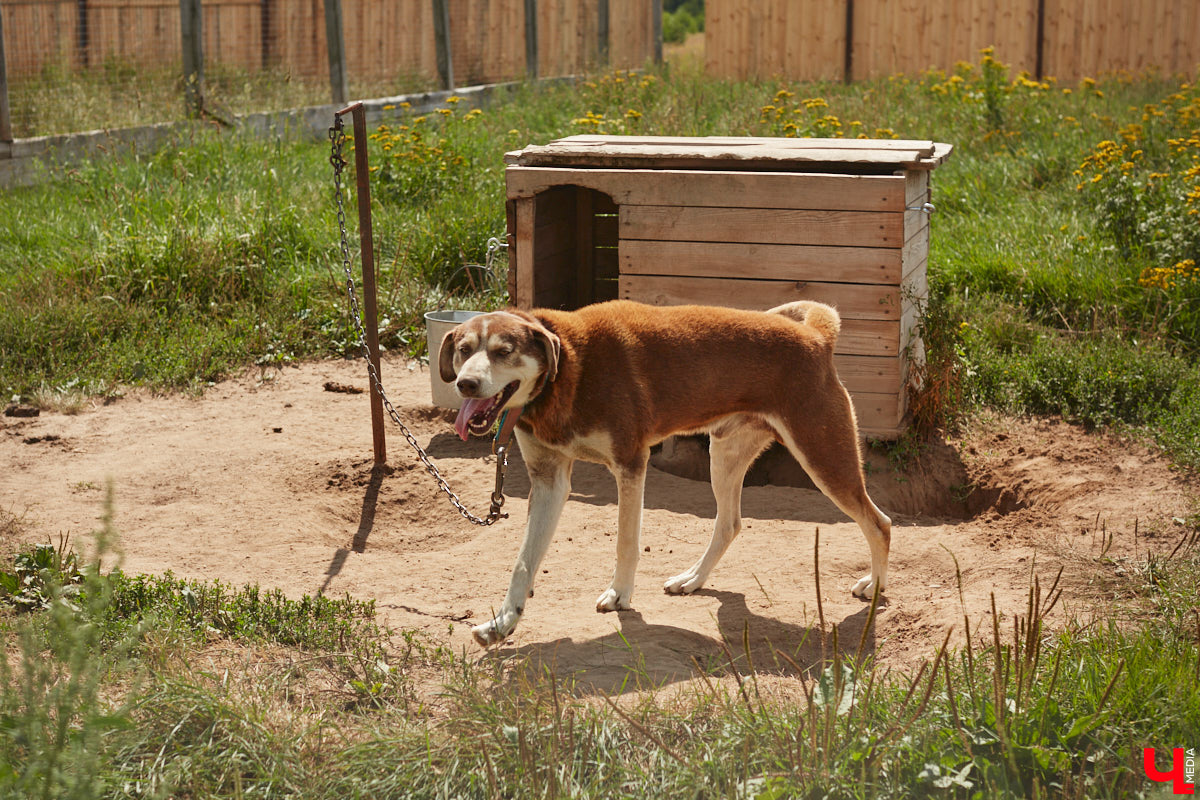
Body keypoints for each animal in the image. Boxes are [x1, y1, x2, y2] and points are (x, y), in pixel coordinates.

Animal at [441, 297, 892, 647]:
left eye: (503, 351)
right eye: (464, 349)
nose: (466, 384)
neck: (570, 366)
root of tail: (816, 338)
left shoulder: (630, 463)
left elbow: (626, 542)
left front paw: (619, 595)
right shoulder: (549, 480)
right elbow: (523, 563)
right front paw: (503, 623)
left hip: (824, 458)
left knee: (880, 523)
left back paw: (875, 586)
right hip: (724, 456)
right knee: (729, 523)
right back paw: (692, 578)